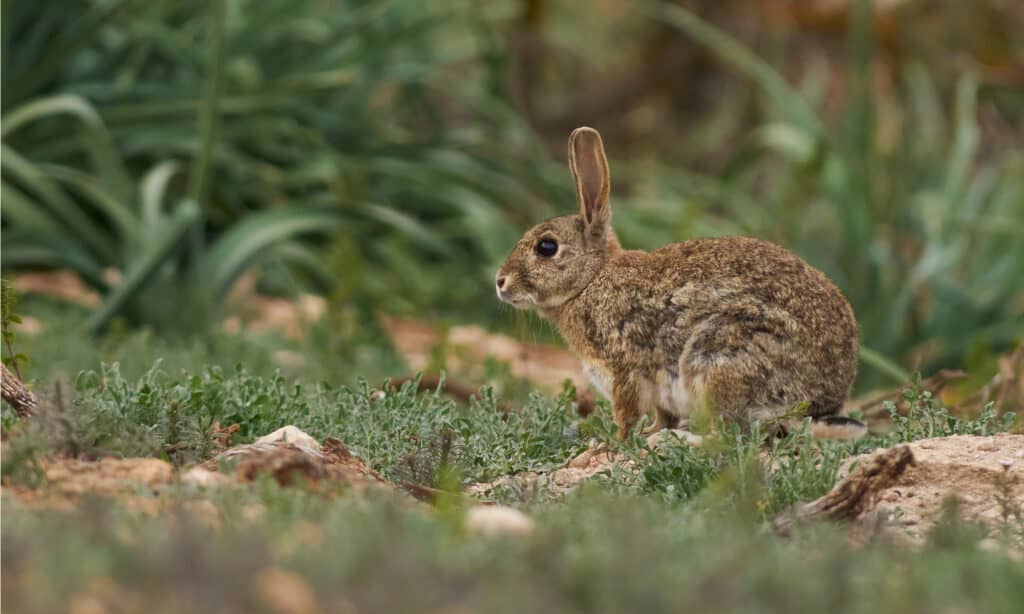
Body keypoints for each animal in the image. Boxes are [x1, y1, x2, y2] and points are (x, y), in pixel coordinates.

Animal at [491, 126, 860, 437]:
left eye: (547, 247)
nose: (500, 282)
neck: (591, 279)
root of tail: (817, 404)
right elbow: (661, 416)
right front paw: (651, 434)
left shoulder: (623, 368)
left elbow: (626, 413)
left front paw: (614, 443)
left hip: (718, 355)